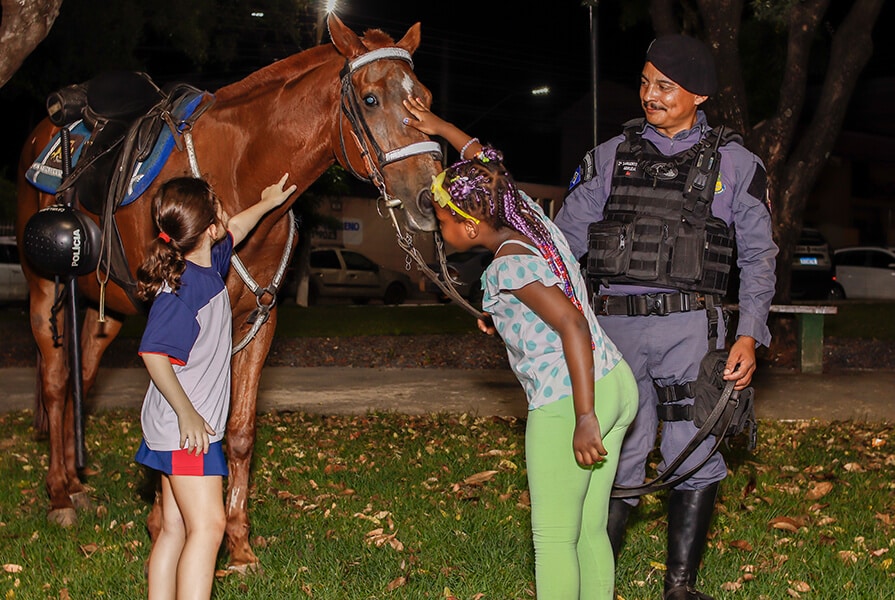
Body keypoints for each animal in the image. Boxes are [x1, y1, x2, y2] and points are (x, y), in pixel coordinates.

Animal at [15, 12, 442, 568]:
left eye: (426, 98)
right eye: (370, 99)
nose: (429, 198)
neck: (240, 172)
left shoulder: (258, 322)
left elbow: (238, 433)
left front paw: (237, 545)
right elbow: (173, 414)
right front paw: (163, 523)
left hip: (102, 307)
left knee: (78, 378)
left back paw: (75, 483)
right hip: (44, 289)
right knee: (54, 381)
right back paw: (59, 496)